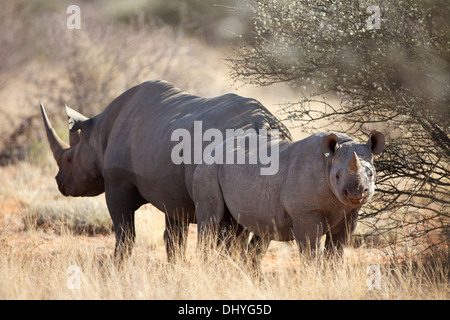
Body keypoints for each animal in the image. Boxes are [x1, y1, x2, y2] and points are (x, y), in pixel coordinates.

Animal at [39, 80, 292, 262]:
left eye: (69, 159)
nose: (59, 182)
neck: (98, 132)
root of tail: (266, 126)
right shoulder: (172, 192)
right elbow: (173, 239)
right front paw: (175, 271)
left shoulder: (117, 182)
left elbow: (125, 234)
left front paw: (116, 269)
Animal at [192, 129, 384, 264]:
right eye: (337, 176)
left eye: (371, 174)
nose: (356, 192)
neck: (329, 161)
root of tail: (213, 149)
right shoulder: (306, 212)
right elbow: (311, 250)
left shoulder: (349, 212)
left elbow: (337, 251)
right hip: (208, 168)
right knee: (211, 221)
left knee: (234, 227)